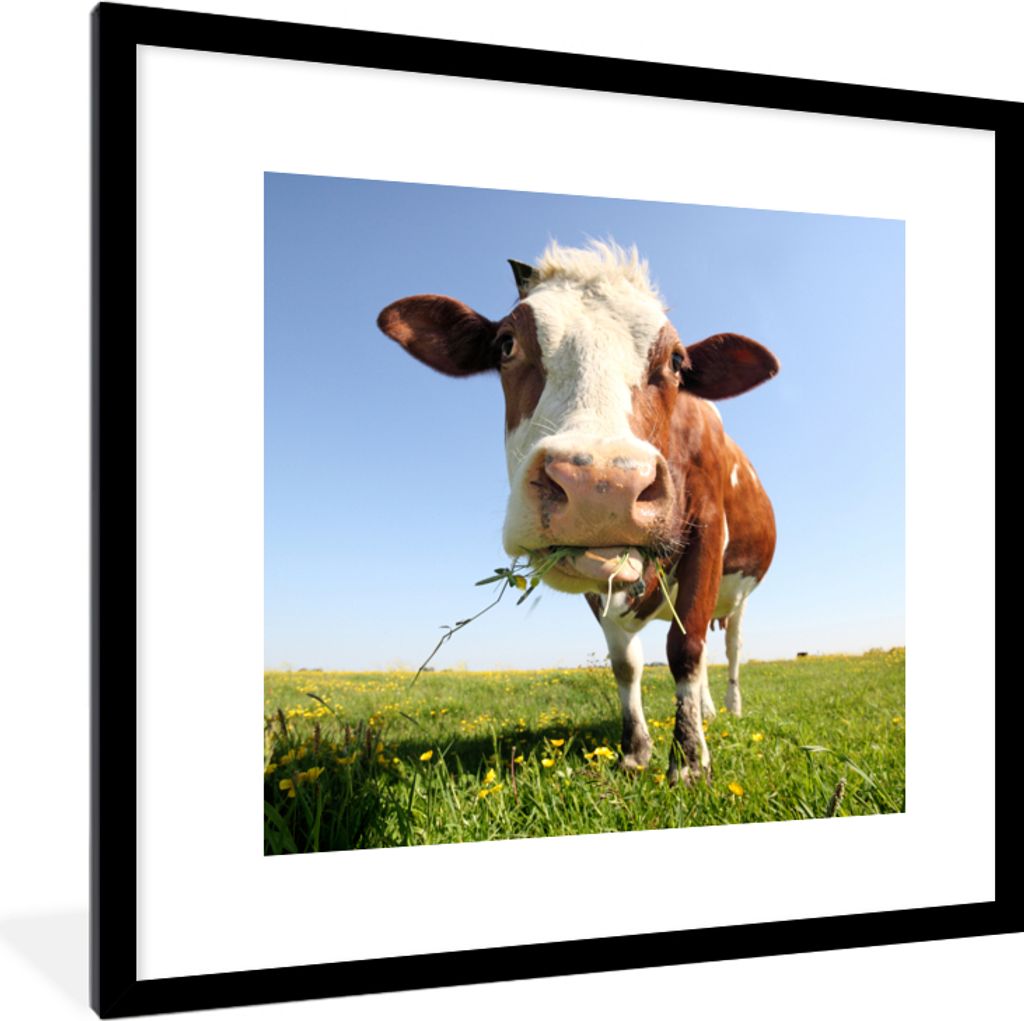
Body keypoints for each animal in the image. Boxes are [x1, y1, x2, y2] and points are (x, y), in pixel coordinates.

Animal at [377, 242, 778, 785]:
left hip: (737, 597)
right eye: (506, 344)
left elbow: (685, 648)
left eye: (677, 361)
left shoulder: (708, 532)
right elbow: (626, 662)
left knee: (729, 648)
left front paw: (690, 762)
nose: (601, 485)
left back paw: (729, 710)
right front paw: (636, 751)